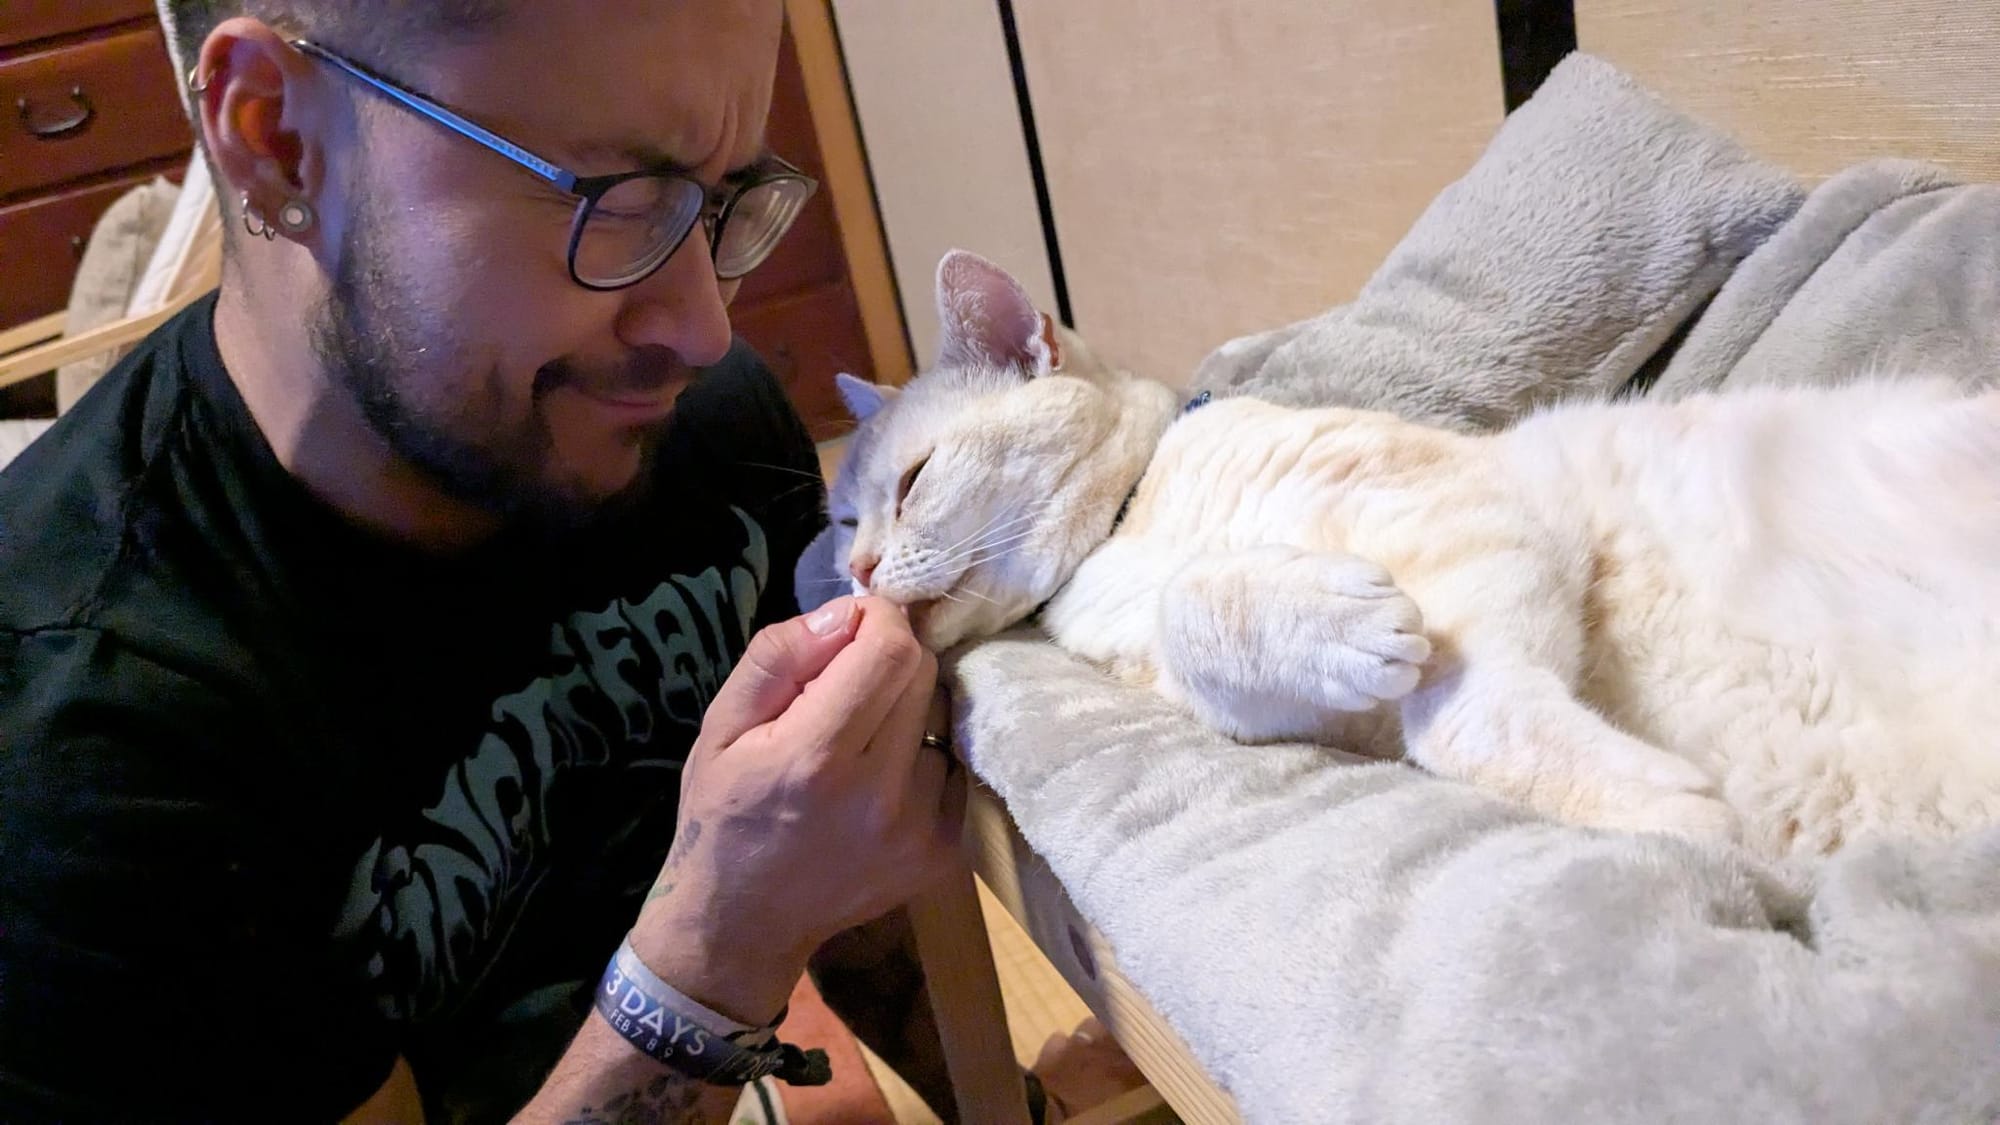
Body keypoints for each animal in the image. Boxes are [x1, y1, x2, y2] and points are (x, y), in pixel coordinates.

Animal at [822, 249, 2000, 859]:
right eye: (847, 526)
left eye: (910, 486)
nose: (858, 576)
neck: (1128, 530)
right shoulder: (1275, 709)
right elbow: (1210, 616)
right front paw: (1342, 625)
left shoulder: (1470, 510)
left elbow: (1459, 713)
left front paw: (1674, 814)